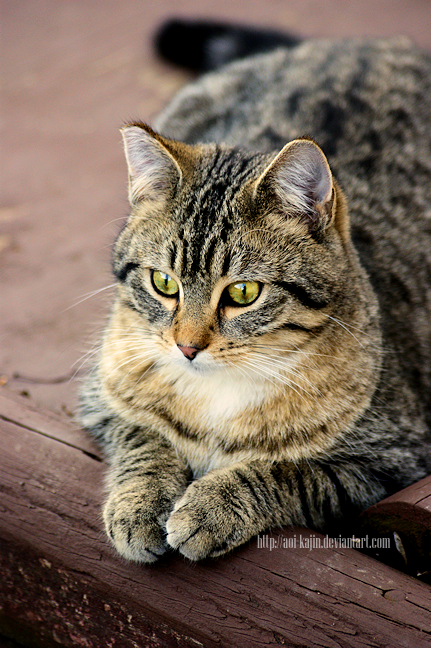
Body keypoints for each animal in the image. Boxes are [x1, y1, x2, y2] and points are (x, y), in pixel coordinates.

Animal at [80, 20, 431, 560]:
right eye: (164, 283)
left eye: (243, 292)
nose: (187, 347)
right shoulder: (104, 393)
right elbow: (144, 439)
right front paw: (140, 504)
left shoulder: (387, 461)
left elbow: (285, 472)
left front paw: (210, 507)